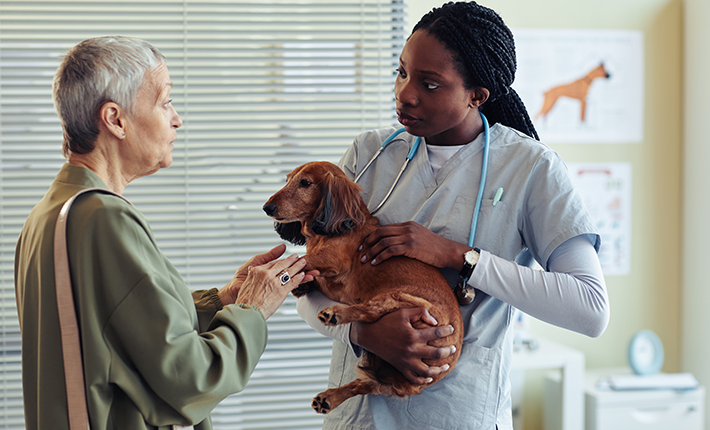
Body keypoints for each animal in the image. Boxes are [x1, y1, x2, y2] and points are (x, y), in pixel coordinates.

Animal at [264, 160, 464, 414]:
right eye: (288, 179)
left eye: (305, 183)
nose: (267, 207)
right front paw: (302, 285)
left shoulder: (332, 260)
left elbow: (300, 260)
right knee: (364, 384)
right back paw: (330, 397)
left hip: (406, 300)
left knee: (371, 312)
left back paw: (335, 314)